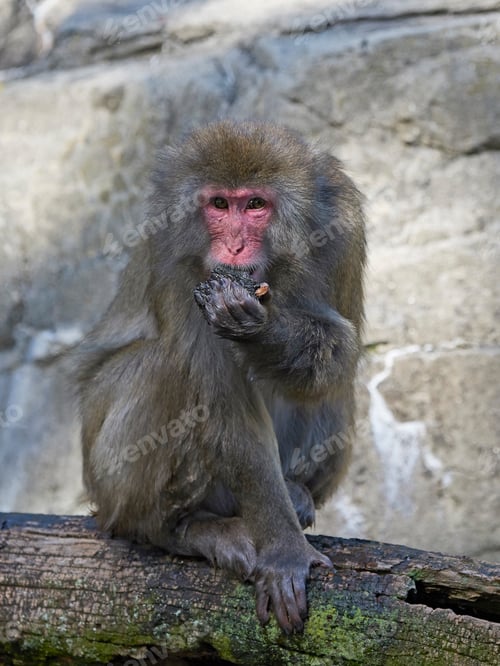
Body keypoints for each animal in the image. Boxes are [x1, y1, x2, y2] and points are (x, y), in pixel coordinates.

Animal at [75, 120, 366, 634]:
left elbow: (339, 350)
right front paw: (285, 552)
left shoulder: (345, 229)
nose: (233, 247)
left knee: (334, 388)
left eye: (254, 205)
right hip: (107, 477)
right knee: (165, 367)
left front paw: (262, 329)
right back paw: (178, 529)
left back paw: (297, 491)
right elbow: (225, 408)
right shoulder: (179, 263)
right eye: (218, 204)